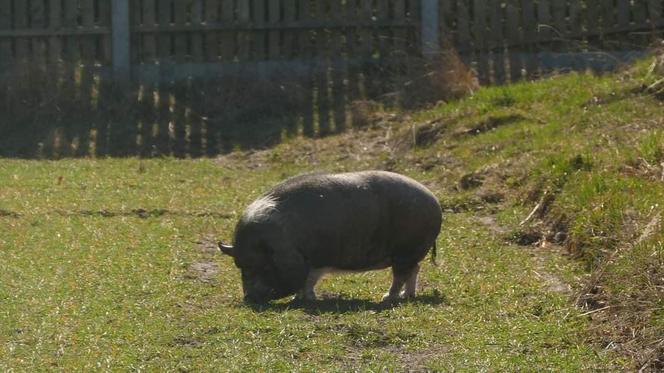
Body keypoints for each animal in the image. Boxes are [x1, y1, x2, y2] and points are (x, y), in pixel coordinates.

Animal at [220, 171, 444, 302]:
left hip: (405, 251)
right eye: (240, 267)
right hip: (410, 253)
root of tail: (434, 202)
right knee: (414, 270)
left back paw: (387, 298)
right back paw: (408, 295)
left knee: (400, 275)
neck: (285, 239)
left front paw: (306, 300)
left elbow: (309, 279)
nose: (248, 298)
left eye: (263, 266)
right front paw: (301, 299)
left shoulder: (318, 258)